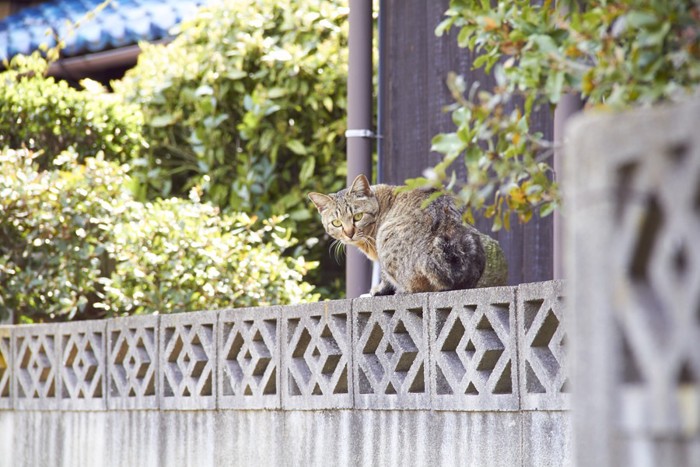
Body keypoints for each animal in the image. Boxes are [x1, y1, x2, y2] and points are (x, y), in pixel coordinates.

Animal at [308, 176, 506, 296]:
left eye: (358, 216)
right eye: (336, 223)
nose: (349, 233)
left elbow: (385, 280)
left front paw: (377, 290)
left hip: (386, 237)